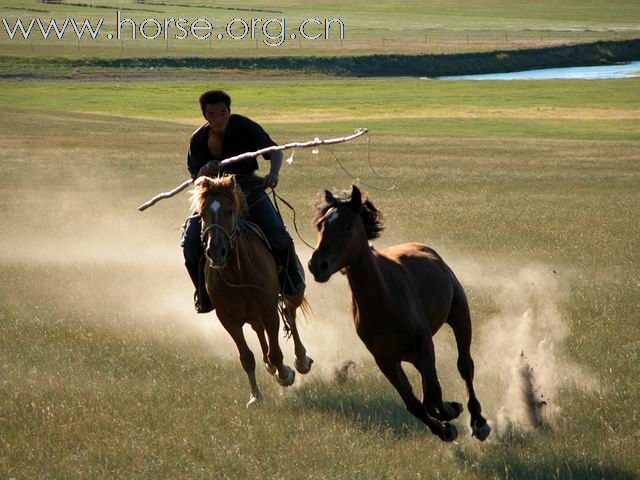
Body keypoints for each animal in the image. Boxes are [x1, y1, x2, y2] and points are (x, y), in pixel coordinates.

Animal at [191, 174, 314, 406]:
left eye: (229, 211)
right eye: (202, 214)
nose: (215, 252)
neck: (239, 272)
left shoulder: (269, 309)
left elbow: (276, 351)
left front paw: (286, 374)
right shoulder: (227, 319)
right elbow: (246, 358)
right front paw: (255, 396)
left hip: (292, 294)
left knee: (290, 316)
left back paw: (301, 360)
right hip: (251, 314)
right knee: (259, 330)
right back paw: (269, 365)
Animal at [308, 186, 492, 440]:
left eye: (349, 226)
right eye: (320, 225)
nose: (317, 265)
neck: (383, 301)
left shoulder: (424, 343)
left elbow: (432, 394)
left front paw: (452, 411)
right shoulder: (385, 360)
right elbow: (415, 404)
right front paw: (445, 428)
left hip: (460, 315)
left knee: (465, 366)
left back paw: (478, 421)